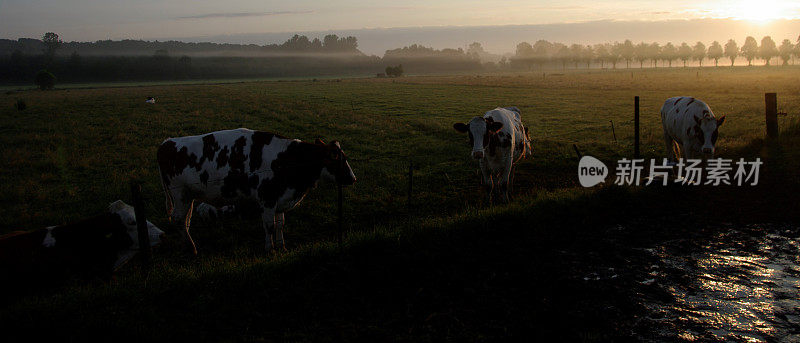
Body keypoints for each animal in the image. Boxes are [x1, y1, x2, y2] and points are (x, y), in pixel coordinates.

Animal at [156, 127, 356, 254]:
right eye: (336, 158)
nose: (353, 178)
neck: (288, 159)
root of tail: (167, 142)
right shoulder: (267, 198)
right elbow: (269, 226)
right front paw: (270, 249)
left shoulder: (280, 199)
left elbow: (280, 224)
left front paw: (282, 246)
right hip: (179, 194)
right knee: (178, 219)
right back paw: (191, 248)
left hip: (188, 196)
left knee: (185, 220)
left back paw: (186, 245)